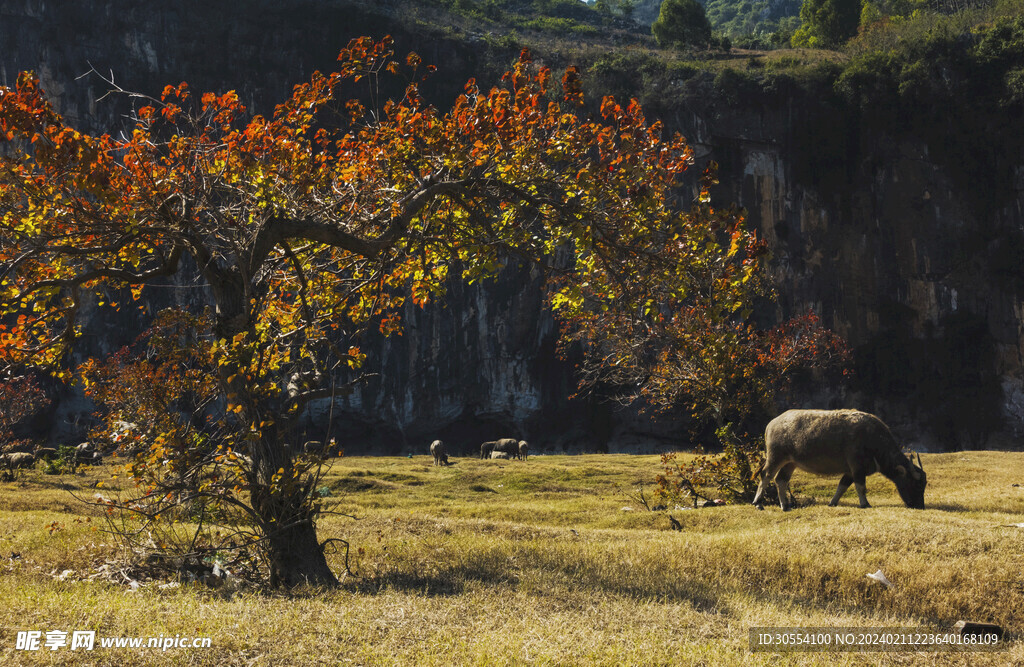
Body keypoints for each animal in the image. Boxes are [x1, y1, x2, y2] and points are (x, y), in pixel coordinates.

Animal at [753, 407, 929, 512]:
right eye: (915, 484)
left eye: (924, 485)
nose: (919, 506)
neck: (872, 439)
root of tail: (772, 423)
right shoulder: (857, 467)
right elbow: (860, 486)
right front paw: (865, 503)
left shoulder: (850, 471)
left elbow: (842, 486)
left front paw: (833, 502)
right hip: (775, 457)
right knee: (766, 475)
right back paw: (758, 503)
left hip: (790, 463)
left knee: (780, 479)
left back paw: (785, 505)